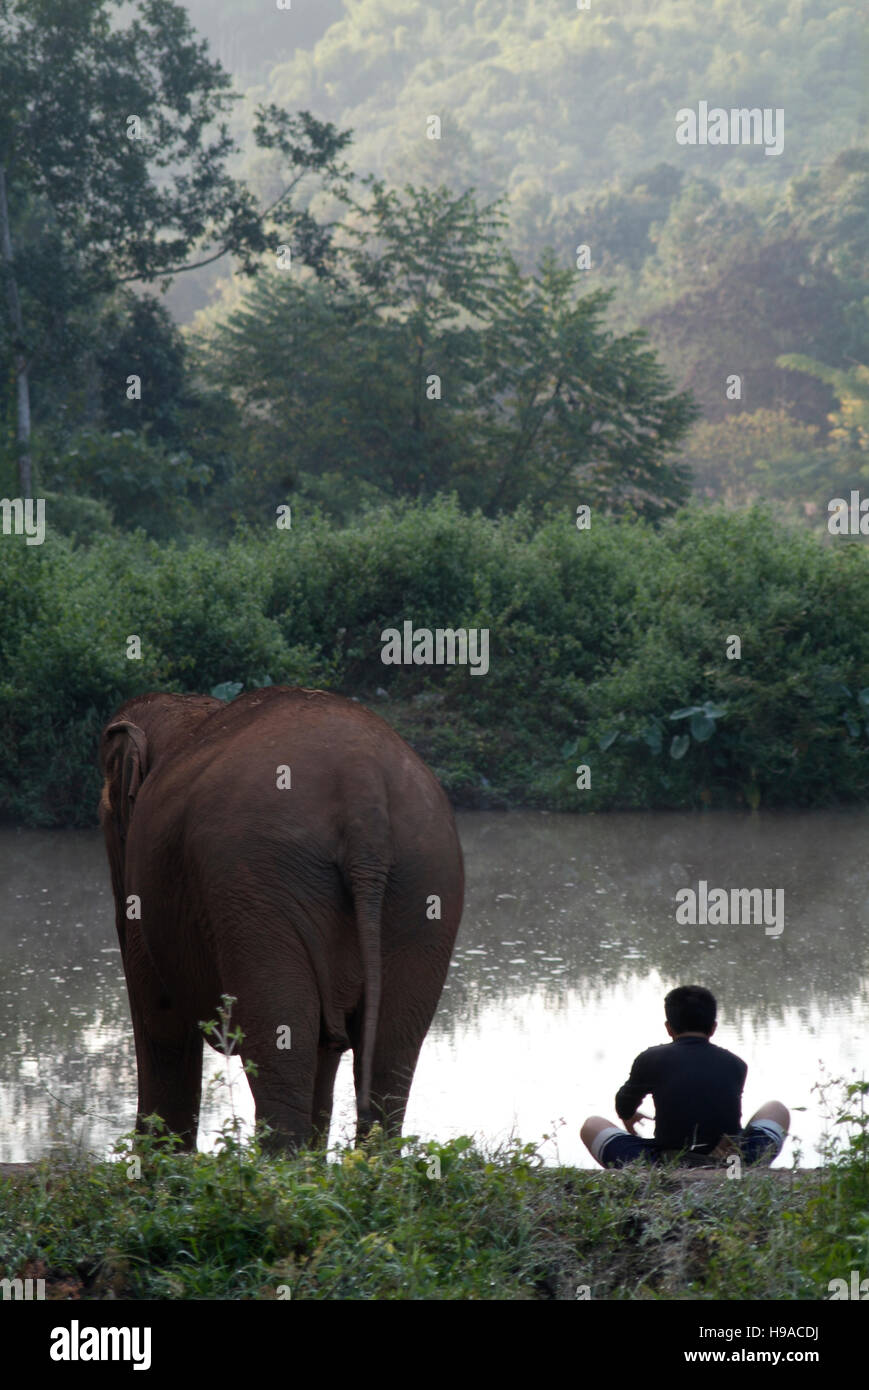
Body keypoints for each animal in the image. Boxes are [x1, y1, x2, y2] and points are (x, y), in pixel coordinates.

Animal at [99, 686, 464, 1152]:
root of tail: (362, 791)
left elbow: (159, 1018)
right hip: (425, 882)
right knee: (388, 1055)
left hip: (260, 882)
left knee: (282, 1043)